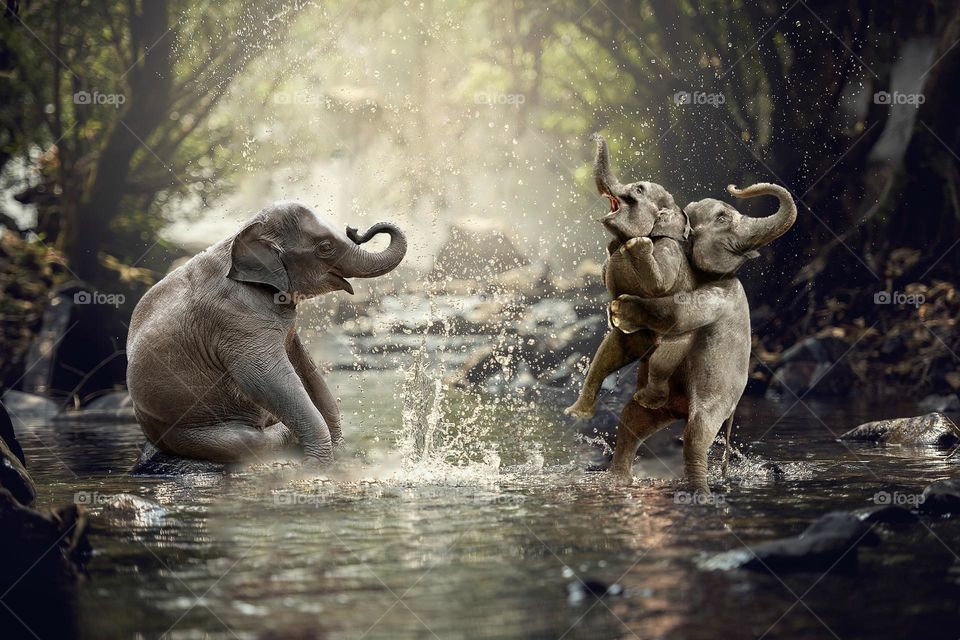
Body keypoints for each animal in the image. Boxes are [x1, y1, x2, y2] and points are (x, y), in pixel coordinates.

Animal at [126, 201, 407, 464]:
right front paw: (319, 464)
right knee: (245, 442)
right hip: (188, 432)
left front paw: (339, 454)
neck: (242, 232)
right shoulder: (237, 319)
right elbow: (265, 377)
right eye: (325, 247)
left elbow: (307, 368)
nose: (355, 230)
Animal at [607, 182, 798, 490]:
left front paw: (622, 310)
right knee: (631, 421)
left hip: (717, 399)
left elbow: (680, 315)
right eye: (723, 218)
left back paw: (699, 490)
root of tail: (680, 409)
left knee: (695, 435)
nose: (735, 187)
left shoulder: (723, 294)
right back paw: (619, 481)